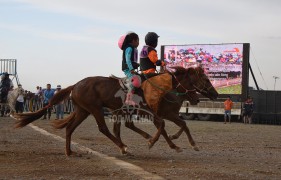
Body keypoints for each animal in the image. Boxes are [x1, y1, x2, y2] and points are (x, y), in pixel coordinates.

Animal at [13, 67, 201, 156]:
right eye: (193, 82)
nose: (197, 98)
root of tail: (76, 85)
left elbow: (163, 125)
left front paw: (168, 143)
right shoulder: (144, 110)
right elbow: (160, 124)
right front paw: (153, 141)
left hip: (83, 110)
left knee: (70, 128)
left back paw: (69, 152)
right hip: (95, 109)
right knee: (103, 128)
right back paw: (123, 147)